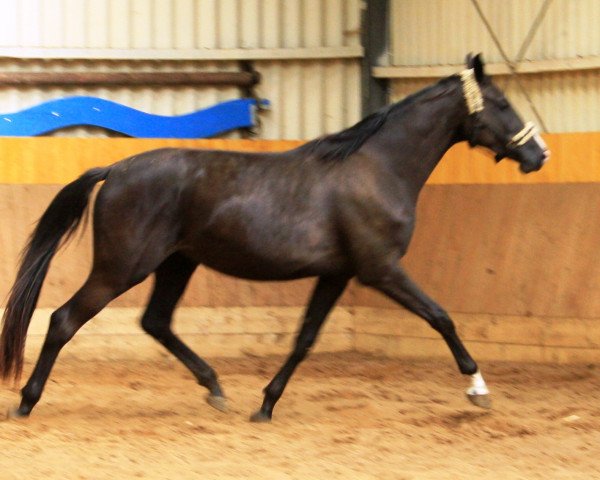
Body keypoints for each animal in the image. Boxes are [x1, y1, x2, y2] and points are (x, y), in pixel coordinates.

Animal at [0, 54, 548, 422]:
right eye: (501, 103)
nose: (538, 155)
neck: (377, 168)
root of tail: (114, 170)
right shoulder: (381, 270)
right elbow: (441, 317)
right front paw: (478, 389)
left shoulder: (337, 274)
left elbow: (305, 339)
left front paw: (265, 404)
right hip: (122, 267)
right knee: (64, 319)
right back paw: (27, 402)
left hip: (177, 263)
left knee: (155, 321)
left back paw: (216, 389)